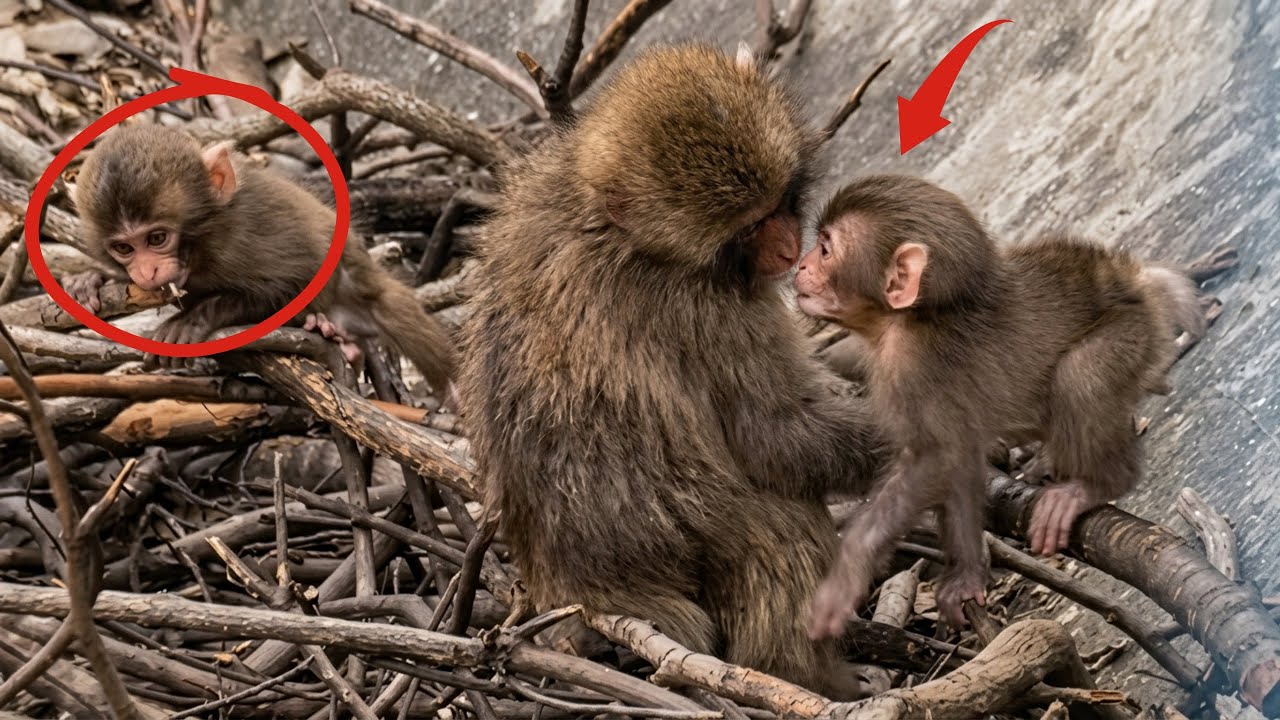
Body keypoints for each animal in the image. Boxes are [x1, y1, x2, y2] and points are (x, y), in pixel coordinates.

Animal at [64, 124, 454, 392]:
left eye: (157, 238)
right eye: (124, 248)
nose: (148, 271)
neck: (203, 244)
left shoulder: (244, 234)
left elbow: (292, 281)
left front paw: (190, 319)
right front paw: (91, 279)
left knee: (389, 306)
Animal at [456, 45, 886, 699]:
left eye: (781, 203)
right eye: (748, 228)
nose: (790, 251)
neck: (620, 233)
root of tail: (576, 584)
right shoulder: (707, 310)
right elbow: (775, 436)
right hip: (685, 528)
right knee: (780, 527)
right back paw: (798, 674)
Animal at [795, 174, 1204, 633]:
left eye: (825, 249)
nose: (801, 265)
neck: (913, 317)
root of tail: (1136, 282)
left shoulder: (911, 366)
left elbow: (938, 457)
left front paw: (847, 573)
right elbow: (961, 459)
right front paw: (968, 574)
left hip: (1128, 333)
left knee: (1080, 372)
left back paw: (1096, 485)